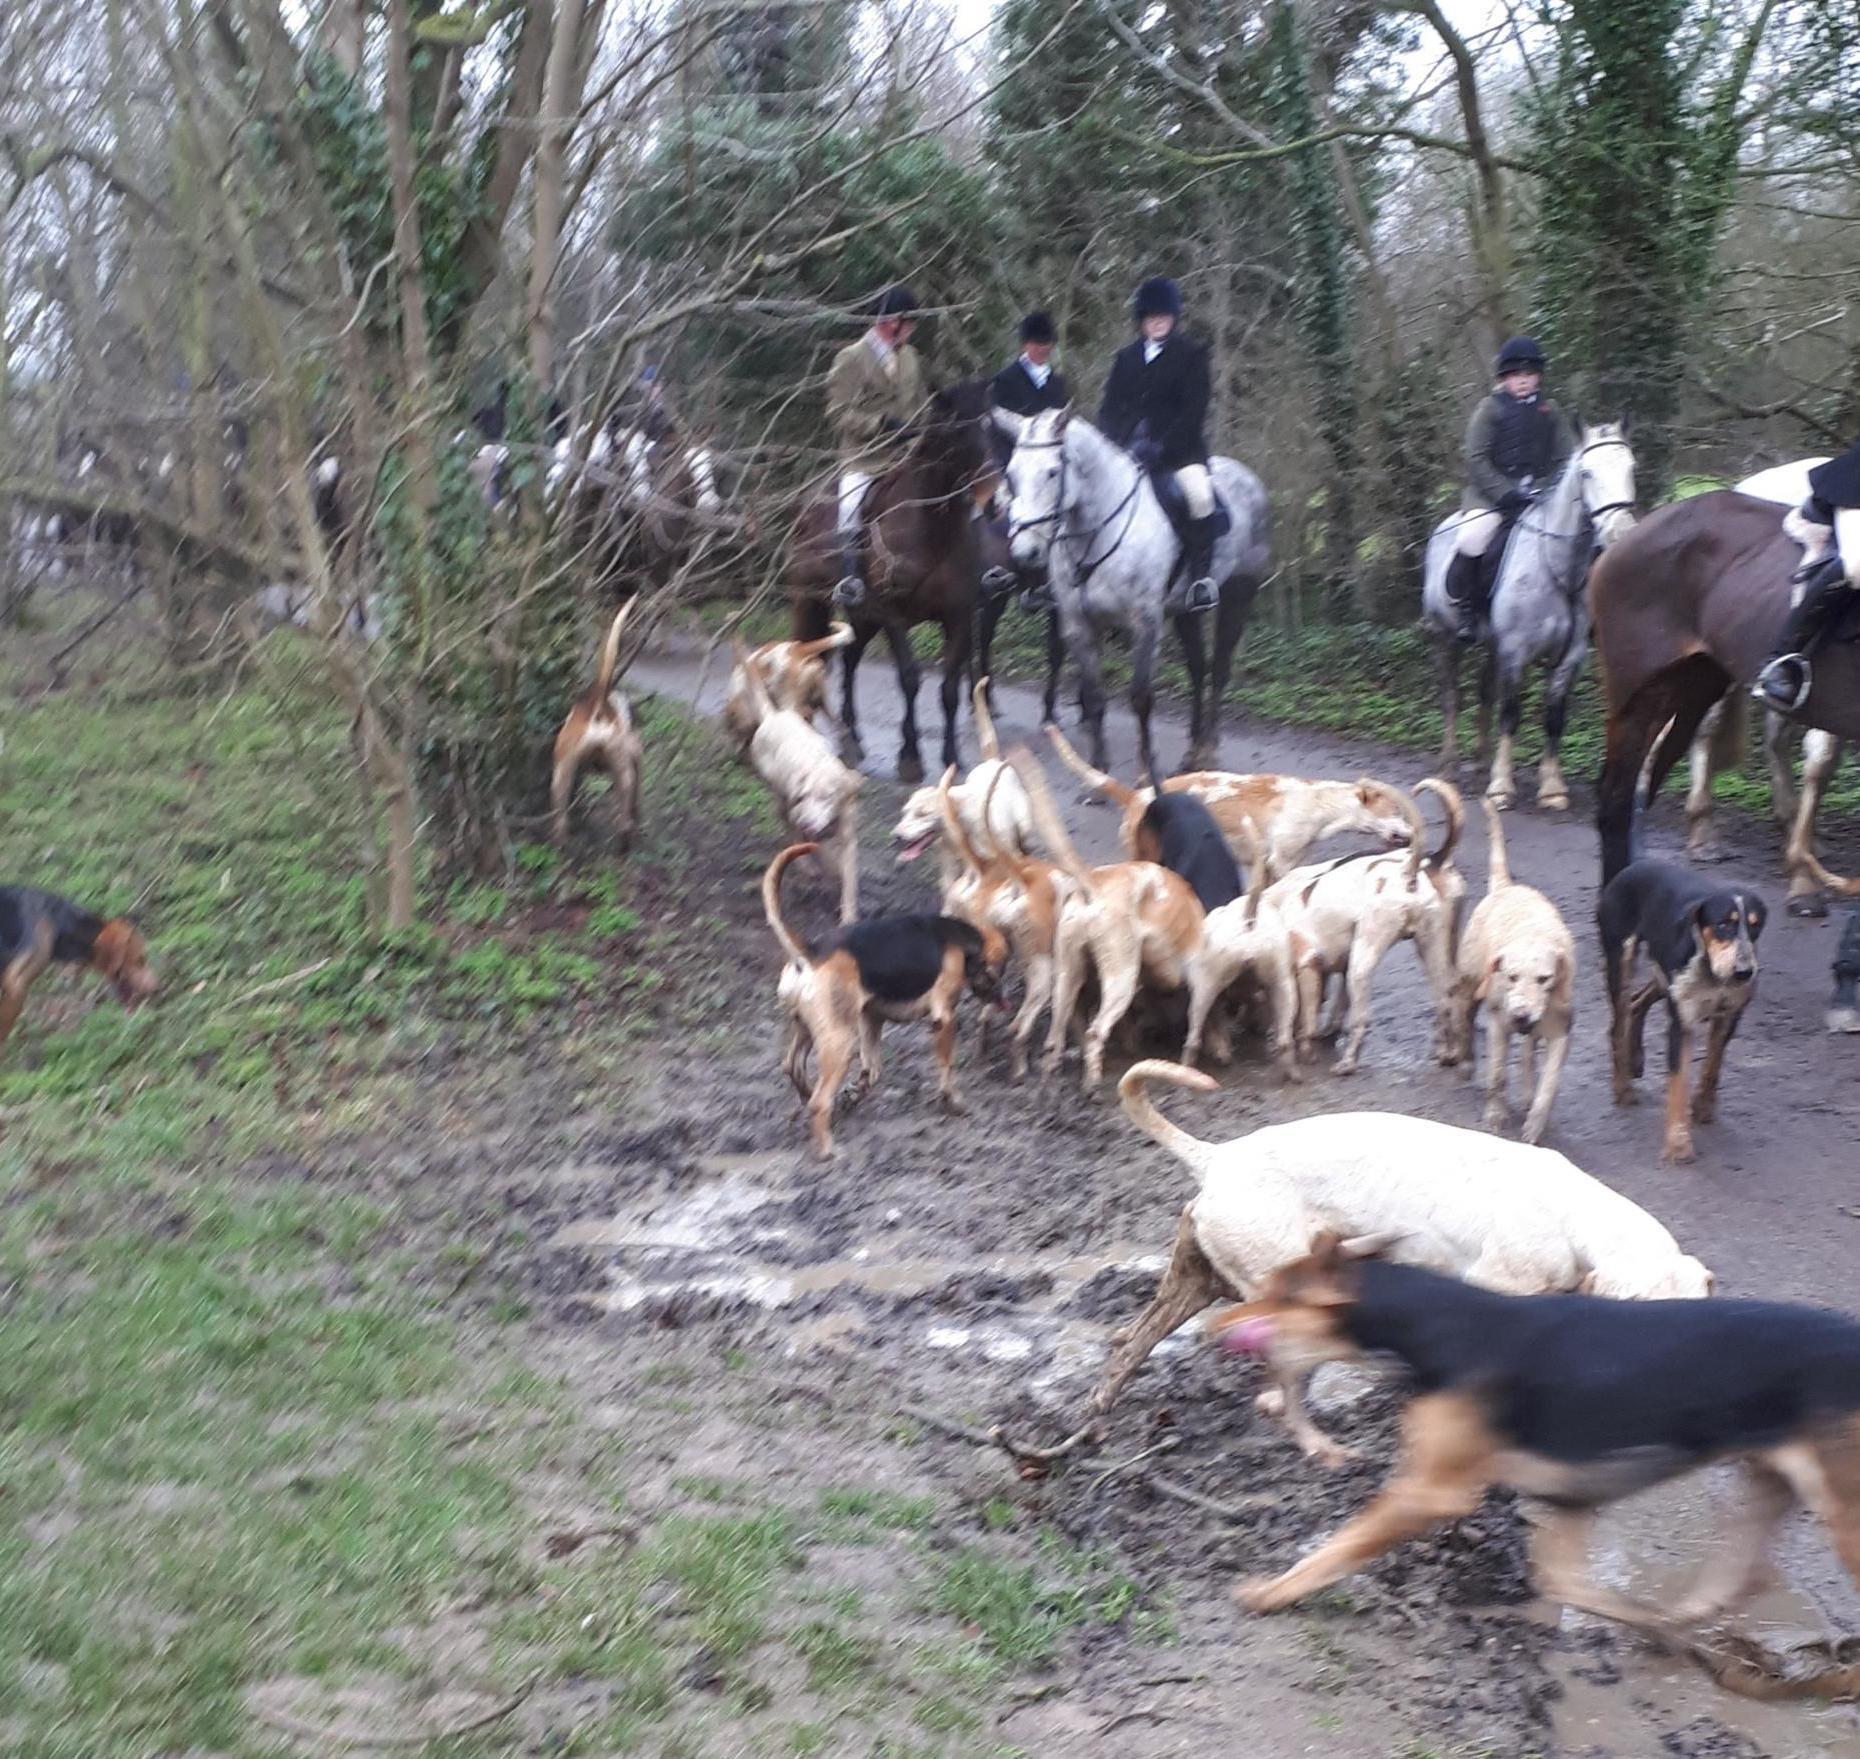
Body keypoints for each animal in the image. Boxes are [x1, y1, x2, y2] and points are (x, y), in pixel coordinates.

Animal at [788, 381, 996, 777]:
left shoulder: (959, 616)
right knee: (813, 655)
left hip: (863, 616)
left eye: (990, 422)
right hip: (812, 601)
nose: (991, 492)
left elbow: (949, 688)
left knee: (850, 660)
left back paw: (852, 740)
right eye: (957, 429)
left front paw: (951, 755)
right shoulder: (893, 615)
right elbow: (910, 679)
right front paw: (911, 756)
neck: (934, 529)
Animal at [996, 407, 1272, 777]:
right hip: (1184, 611)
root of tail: (1248, 477)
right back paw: (1192, 753)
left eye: (1052, 472)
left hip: (1239, 595)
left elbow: (1141, 697)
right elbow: (1094, 697)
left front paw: (1145, 774)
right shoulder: (1078, 625)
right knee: (1198, 668)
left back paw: (1208, 751)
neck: (1097, 533)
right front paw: (1098, 772)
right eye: (1011, 475)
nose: (1025, 553)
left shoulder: (1145, 624)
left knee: (1219, 670)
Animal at [1413, 425, 1636, 810]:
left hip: (1492, 646)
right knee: (1451, 697)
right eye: (1586, 473)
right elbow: (1511, 714)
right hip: (1444, 637)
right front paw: (1502, 787)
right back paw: (1449, 766)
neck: (1558, 567)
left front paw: (1552, 789)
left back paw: (1480, 764)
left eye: (1631, 467)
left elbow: (1554, 718)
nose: (1620, 533)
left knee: (1484, 694)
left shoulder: (1569, 657)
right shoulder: (1516, 651)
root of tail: (1446, 525)